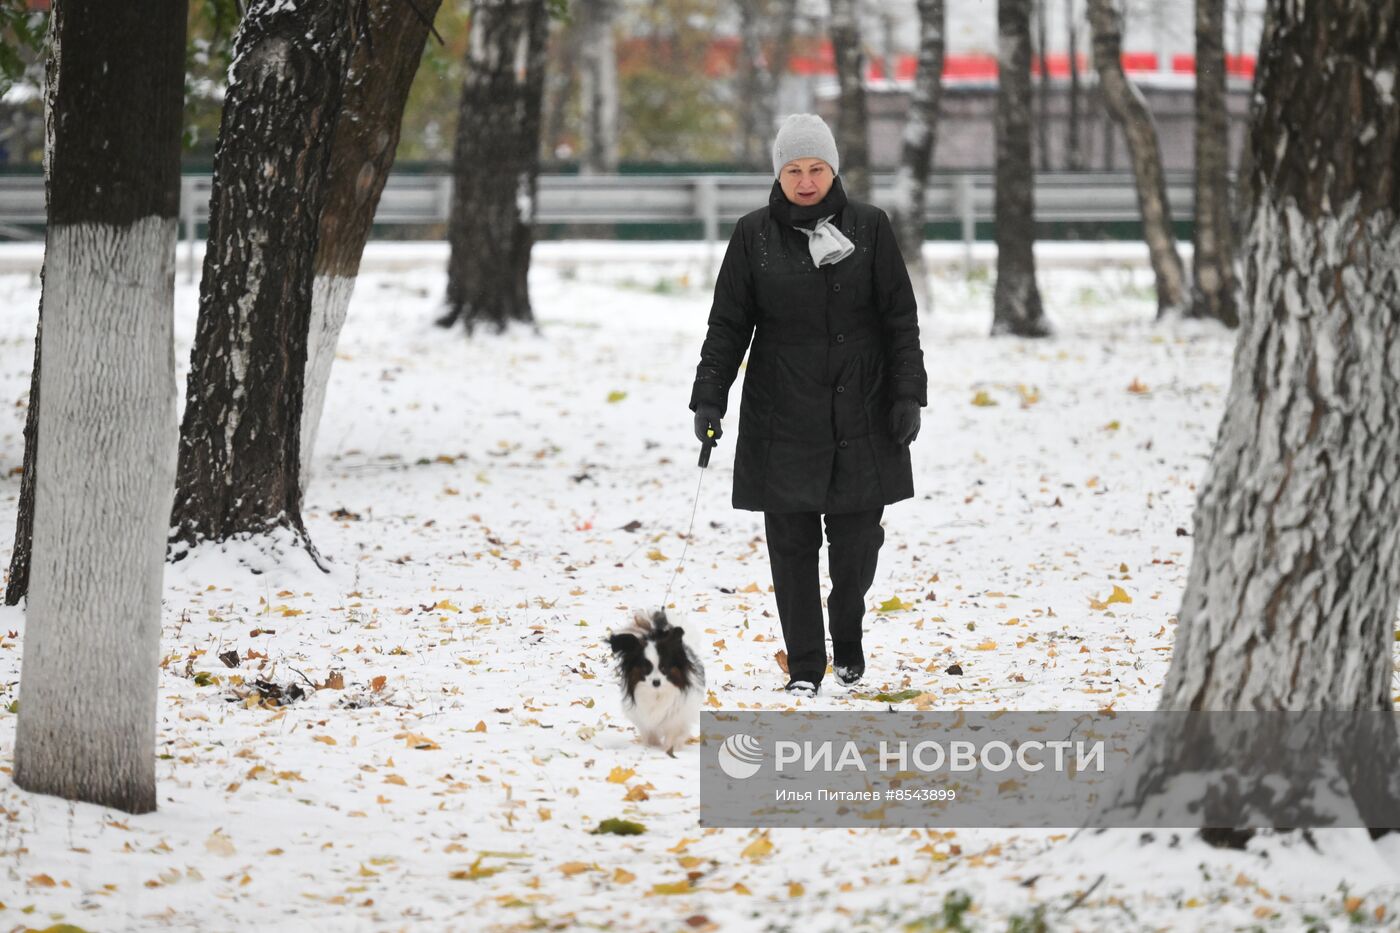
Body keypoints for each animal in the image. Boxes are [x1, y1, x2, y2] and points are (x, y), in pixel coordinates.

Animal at [607, 607, 705, 750]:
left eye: (664, 667)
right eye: (645, 668)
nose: (656, 682)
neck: (657, 694)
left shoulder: (677, 718)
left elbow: (673, 735)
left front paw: (668, 750)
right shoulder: (644, 720)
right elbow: (650, 734)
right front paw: (651, 747)